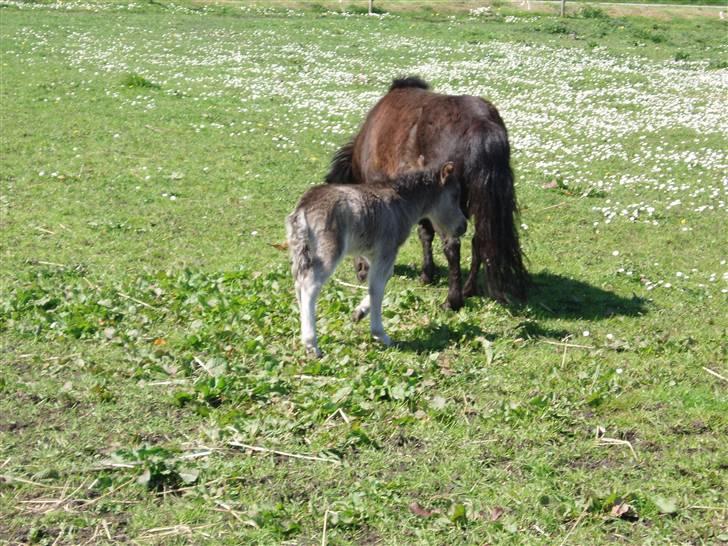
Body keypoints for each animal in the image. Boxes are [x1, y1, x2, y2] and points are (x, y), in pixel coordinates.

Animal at [328, 75, 528, 310]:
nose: (359, 273)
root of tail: (481, 125)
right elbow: (425, 234)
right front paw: (427, 274)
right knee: (479, 242)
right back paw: (468, 290)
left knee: (453, 245)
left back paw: (452, 301)